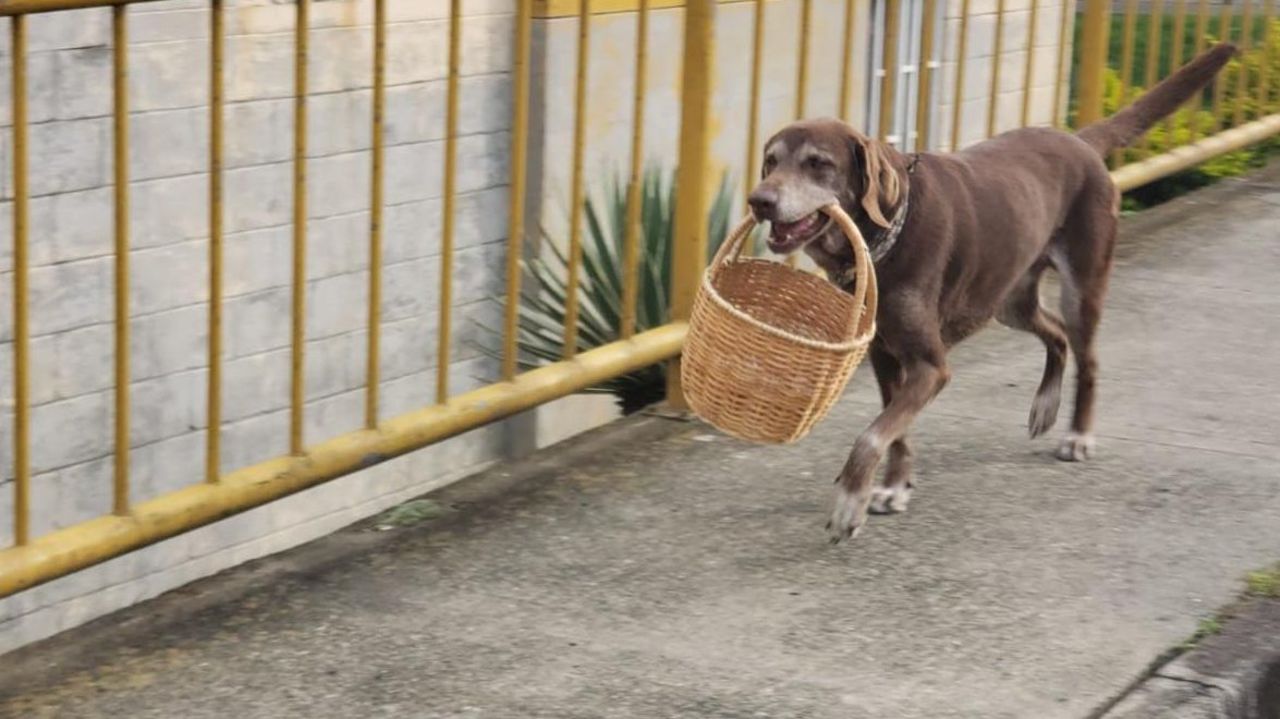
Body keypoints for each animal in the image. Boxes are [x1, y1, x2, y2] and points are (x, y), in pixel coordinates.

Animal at [747, 43, 1239, 537]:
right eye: (770, 160)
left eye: (818, 164)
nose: (759, 200)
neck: (883, 240)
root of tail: (1081, 142)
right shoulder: (884, 354)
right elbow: (895, 429)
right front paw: (893, 486)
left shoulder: (930, 364)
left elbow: (872, 434)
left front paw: (851, 502)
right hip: (1008, 301)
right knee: (1055, 334)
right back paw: (1044, 407)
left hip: (1081, 286)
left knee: (1088, 357)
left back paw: (1078, 434)